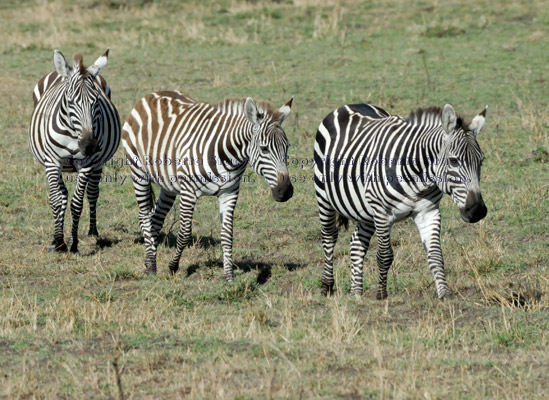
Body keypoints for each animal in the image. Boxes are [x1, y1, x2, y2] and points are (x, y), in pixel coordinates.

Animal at [28, 48, 121, 252]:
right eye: (70, 102)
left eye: (96, 102)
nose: (89, 145)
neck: (74, 133)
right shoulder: (52, 161)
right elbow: (56, 200)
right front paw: (58, 241)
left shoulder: (87, 163)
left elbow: (77, 203)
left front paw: (73, 243)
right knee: (61, 195)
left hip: (98, 163)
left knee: (92, 193)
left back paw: (93, 232)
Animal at [122, 90, 294, 278]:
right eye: (264, 149)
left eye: (287, 147)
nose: (286, 192)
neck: (227, 154)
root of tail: (151, 94)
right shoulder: (188, 191)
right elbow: (184, 234)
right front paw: (173, 266)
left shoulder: (229, 192)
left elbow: (227, 235)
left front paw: (229, 277)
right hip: (138, 172)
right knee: (144, 216)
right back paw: (152, 266)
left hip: (169, 186)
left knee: (156, 218)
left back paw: (149, 260)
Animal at [312, 103, 488, 300]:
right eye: (453, 161)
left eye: (481, 161)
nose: (477, 211)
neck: (419, 179)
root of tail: (349, 105)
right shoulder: (382, 213)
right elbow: (384, 256)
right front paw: (381, 294)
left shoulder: (428, 212)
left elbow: (436, 254)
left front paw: (444, 294)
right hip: (324, 196)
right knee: (329, 236)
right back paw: (327, 286)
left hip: (366, 209)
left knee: (357, 243)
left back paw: (356, 293)